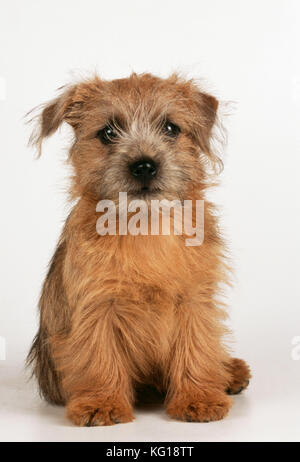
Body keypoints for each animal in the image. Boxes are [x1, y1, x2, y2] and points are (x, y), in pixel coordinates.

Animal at [27, 72, 251, 426]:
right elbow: (99, 356)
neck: (144, 226)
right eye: (107, 132)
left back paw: (230, 371)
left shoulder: (194, 300)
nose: (144, 165)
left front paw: (198, 398)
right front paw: (102, 403)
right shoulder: (97, 306)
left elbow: (197, 347)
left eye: (171, 128)